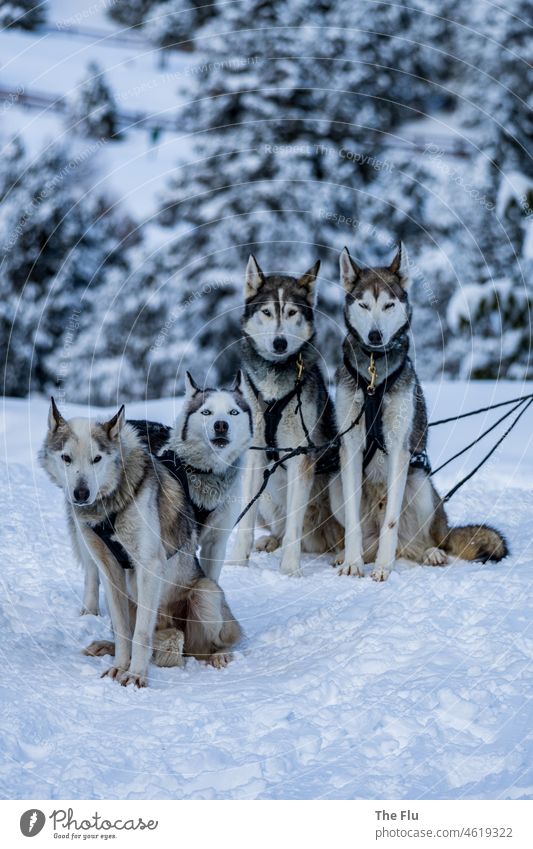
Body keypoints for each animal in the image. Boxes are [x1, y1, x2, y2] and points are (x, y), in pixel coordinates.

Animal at [39, 400, 241, 684]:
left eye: (97, 459)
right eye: (66, 458)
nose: (81, 493)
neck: (110, 507)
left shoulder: (149, 567)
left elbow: (141, 634)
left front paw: (135, 675)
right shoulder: (109, 571)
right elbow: (125, 631)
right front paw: (119, 666)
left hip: (206, 594)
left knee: (200, 648)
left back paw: (218, 655)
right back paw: (106, 646)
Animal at [231, 255, 342, 572]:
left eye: (292, 312)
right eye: (267, 312)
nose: (279, 342)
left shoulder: (300, 454)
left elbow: (295, 522)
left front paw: (290, 569)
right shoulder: (255, 455)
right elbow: (246, 517)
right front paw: (237, 561)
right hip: (268, 492)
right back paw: (270, 541)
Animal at [328, 242, 508, 580]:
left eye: (388, 305)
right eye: (363, 305)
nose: (374, 336)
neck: (374, 376)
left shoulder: (399, 446)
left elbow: (392, 522)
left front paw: (383, 569)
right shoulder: (351, 446)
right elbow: (353, 526)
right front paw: (352, 563)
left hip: (421, 484)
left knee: (416, 542)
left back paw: (429, 553)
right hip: (334, 483)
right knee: (373, 538)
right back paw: (354, 555)